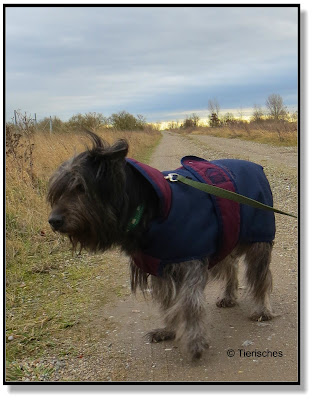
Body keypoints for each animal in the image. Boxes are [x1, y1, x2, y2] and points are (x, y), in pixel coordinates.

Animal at [47, 133, 274, 360]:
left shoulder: (190, 262)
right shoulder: (160, 266)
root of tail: (256, 166)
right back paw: (228, 296)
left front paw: (195, 342)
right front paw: (168, 330)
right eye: (58, 191)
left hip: (258, 242)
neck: (149, 210)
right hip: (225, 238)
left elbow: (189, 304)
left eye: (80, 188)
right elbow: (168, 302)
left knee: (260, 277)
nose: (53, 220)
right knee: (230, 266)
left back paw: (262, 310)